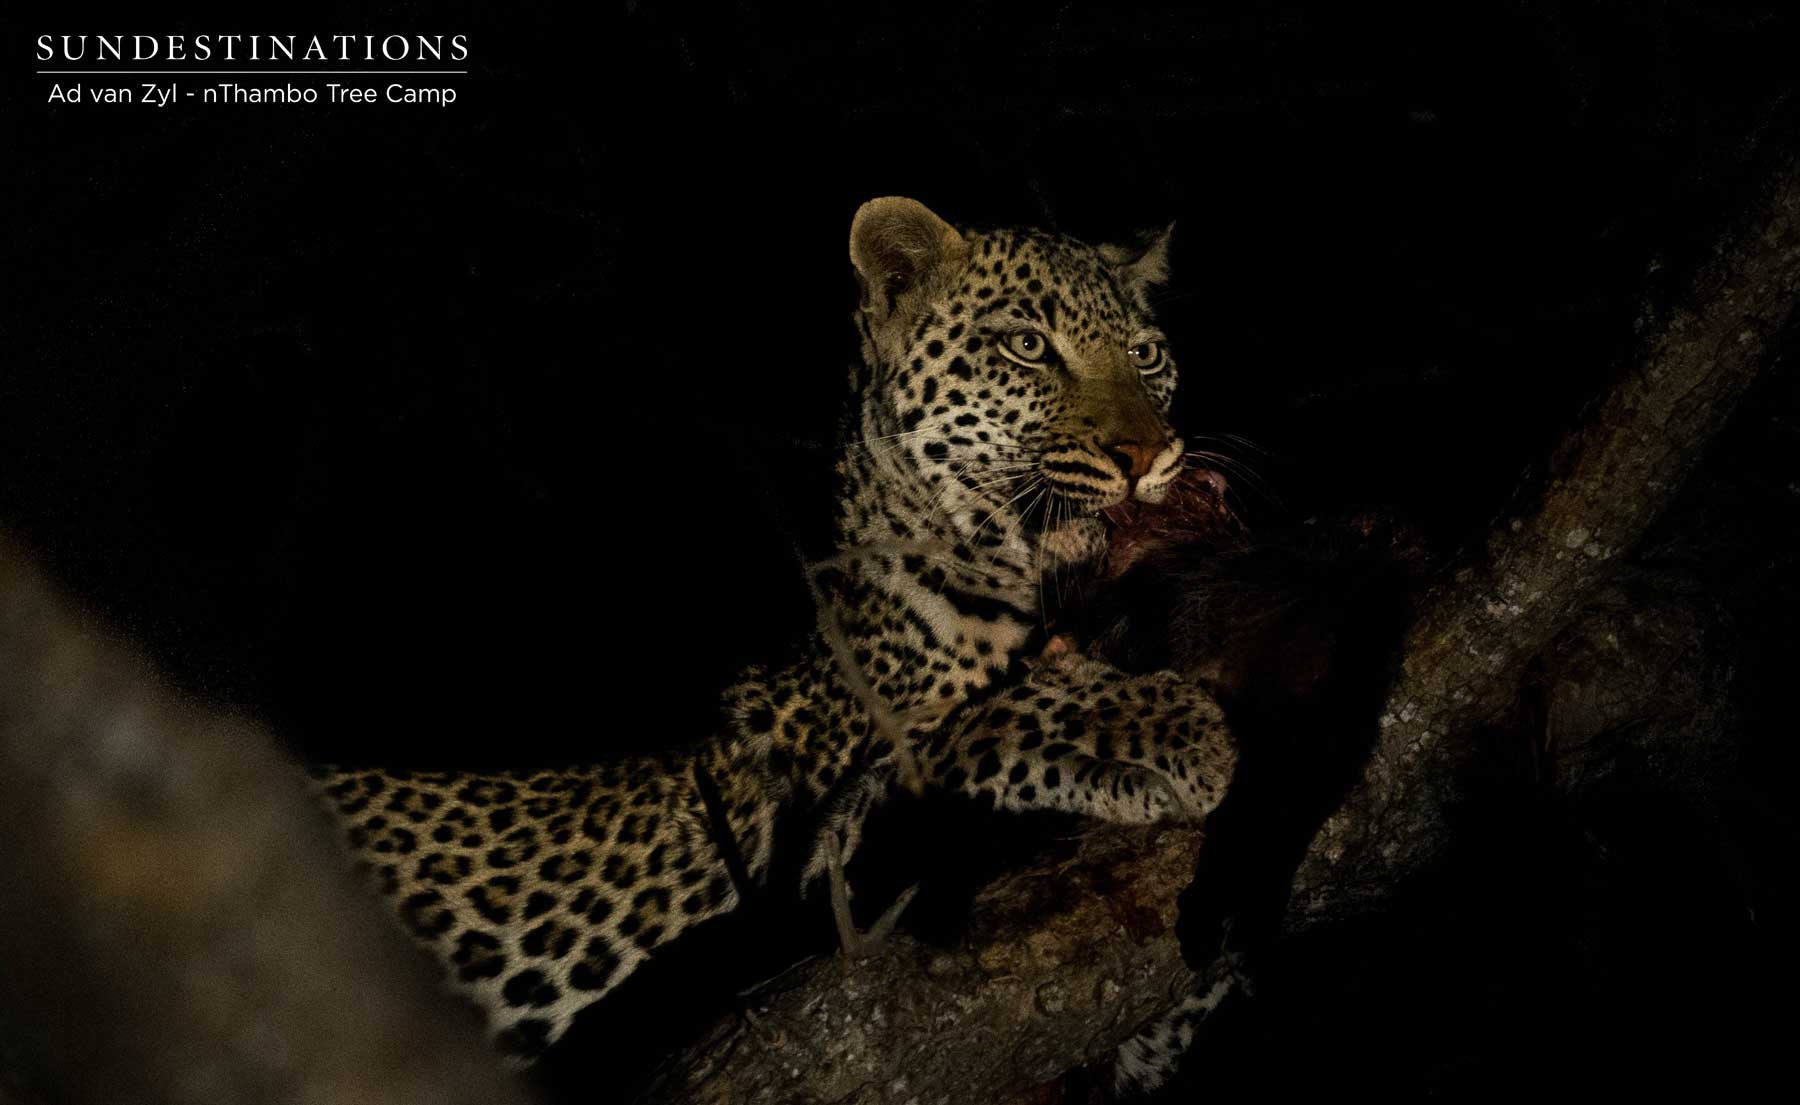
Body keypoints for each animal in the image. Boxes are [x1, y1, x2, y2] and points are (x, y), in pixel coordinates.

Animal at [313, 197, 1239, 1074]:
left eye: (1146, 355)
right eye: (1027, 347)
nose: (1148, 457)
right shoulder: (816, 872)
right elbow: (966, 727)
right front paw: (1152, 726)